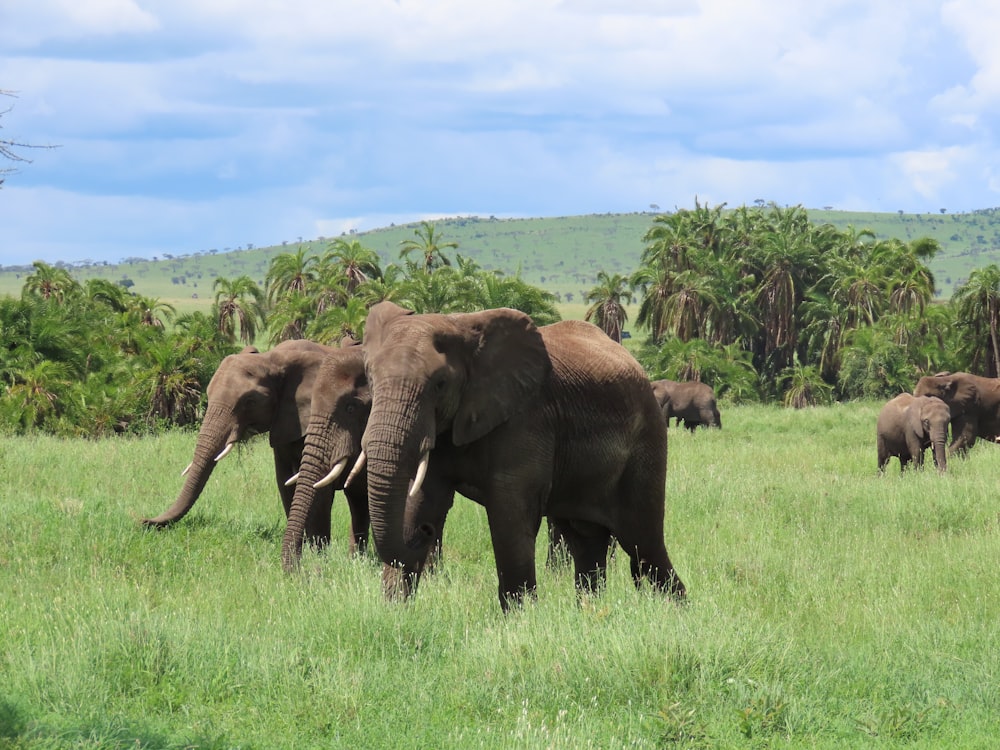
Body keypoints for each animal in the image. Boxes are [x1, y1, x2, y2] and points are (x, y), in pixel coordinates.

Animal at [141, 340, 368, 552]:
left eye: (250, 401)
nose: (144, 522)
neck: (274, 359)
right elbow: (285, 482)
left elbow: (319, 490)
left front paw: (317, 555)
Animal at [324, 302, 684, 612]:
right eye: (371, 378)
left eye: (440, 384)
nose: (426, 533)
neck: (460, 326)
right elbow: (421, 498)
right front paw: (396, 612)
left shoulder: (525, 419)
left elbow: (510, 514)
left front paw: (520, 621)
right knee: (587, 541)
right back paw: (589, 613)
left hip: (647, 441)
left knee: (642, 542)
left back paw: (675, 612)